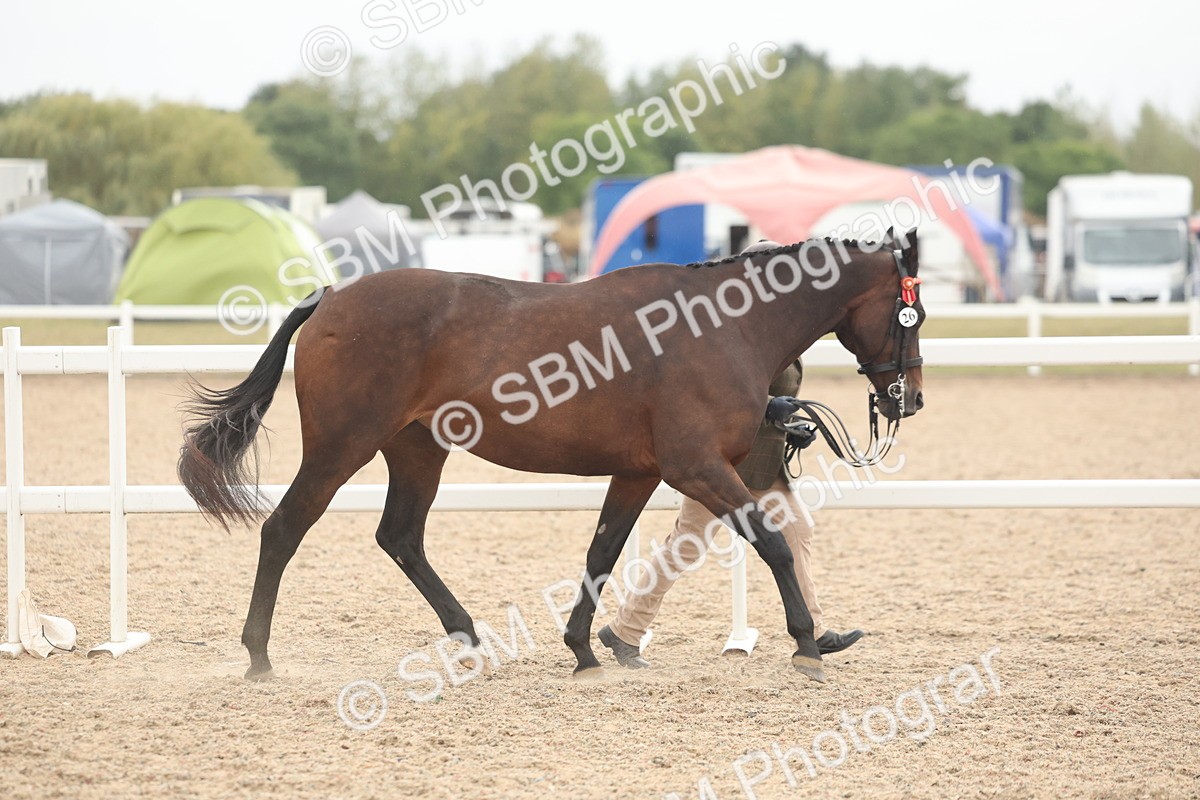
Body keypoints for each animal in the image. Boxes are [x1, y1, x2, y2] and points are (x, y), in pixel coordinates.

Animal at [177, 227, 926, 684]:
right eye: (907, 313)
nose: (907, 398)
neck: (723, 326)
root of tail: (331, 297)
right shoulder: (696, 468)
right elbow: (770, 543)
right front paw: (806, 644)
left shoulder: (639, 472)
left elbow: (603, 553)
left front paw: (586, 651)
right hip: (343, 445)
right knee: (284, 529)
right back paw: (258, 657)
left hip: (416, 449)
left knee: (401, 537)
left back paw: (469, 638)